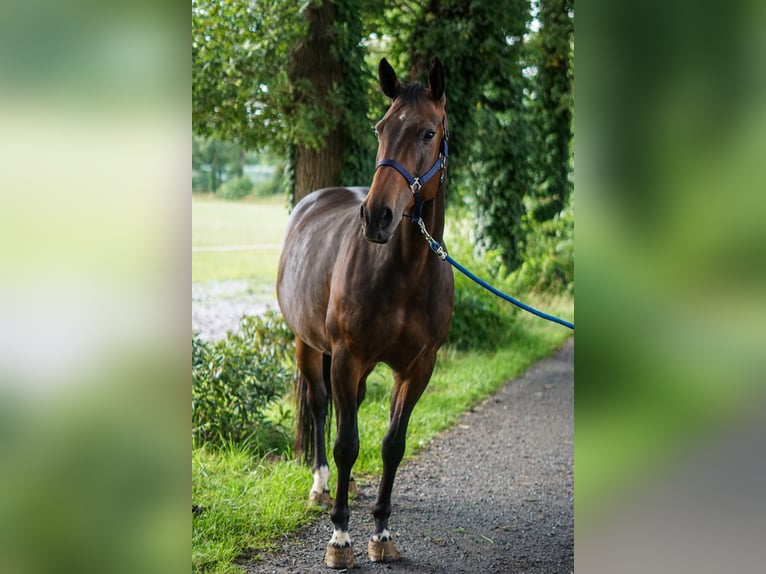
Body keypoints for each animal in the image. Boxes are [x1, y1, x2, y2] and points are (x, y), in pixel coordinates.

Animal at [278, 58, 452, 572]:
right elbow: (346, 443)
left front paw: (382, 531)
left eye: (428, 132)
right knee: (321, 407)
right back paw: (321, 485)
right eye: (381, 128)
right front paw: (340, 537)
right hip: (309, 345)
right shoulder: (347, 355)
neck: (406, 272)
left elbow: (392, 445)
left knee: (345, 408)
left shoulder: (417, 367)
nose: (377, 216)